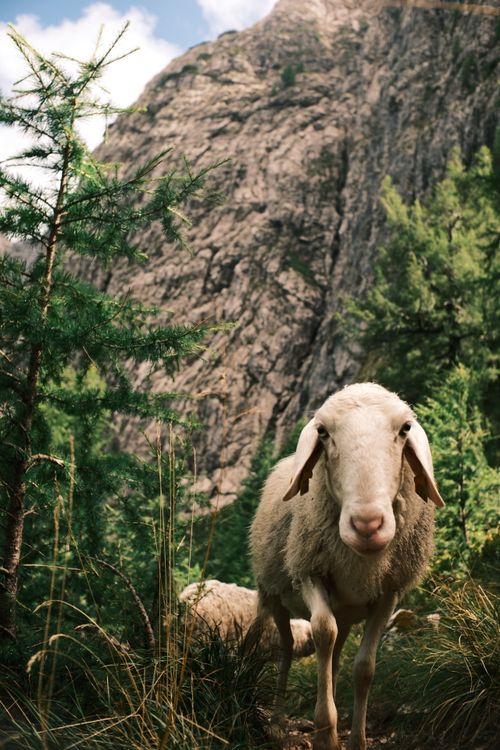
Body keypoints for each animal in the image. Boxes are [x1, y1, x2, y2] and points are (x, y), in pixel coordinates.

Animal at [250, 382, 444, 750]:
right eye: (323, 433)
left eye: (405, 429)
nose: (367, 524)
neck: (363, 561)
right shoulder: (309, 572)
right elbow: (322, 631)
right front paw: (325, 734)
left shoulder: (389, 593)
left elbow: (364, 667)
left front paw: (355, 738)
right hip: (273, 593)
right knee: (285, 647)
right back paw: (278, 723)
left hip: (343, 609)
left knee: (335, 656)